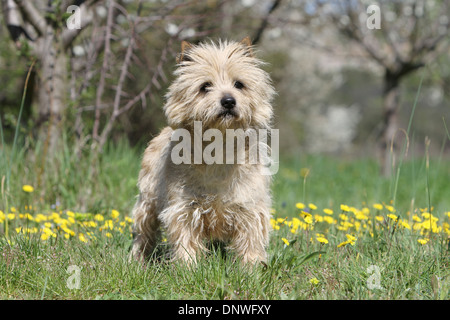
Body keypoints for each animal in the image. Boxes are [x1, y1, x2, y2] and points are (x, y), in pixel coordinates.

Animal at [132, 37, 276, 264]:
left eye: (239, 84)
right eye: (205, 86)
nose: (228, 101)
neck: (219, 148)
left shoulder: (250, 206)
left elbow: (251, 240)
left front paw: (251, 267)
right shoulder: (184, 207)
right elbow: (185, 240)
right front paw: (188, 266)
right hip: (147, 200)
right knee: (143, 232)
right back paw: (137, 259)